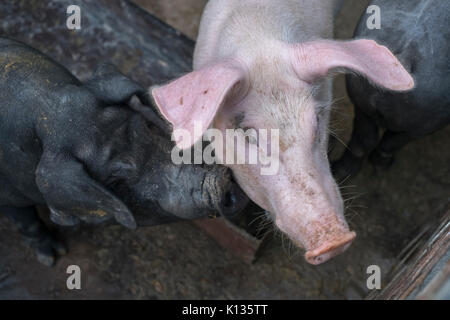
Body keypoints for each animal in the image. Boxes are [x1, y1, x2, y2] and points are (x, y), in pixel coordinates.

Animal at [0, 37, 246, 266]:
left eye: (146, 126)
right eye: (116, 182)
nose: (219, 184)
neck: (47, 108)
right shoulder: (10, 199)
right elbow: (27, 222)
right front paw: (54, 256)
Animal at [332, 0, 448, 180]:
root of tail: (402, 58)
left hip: (361, 97)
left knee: (363, 140)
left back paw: (339, 172)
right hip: (428, 118)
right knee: (392, 142)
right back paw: (382, 165)